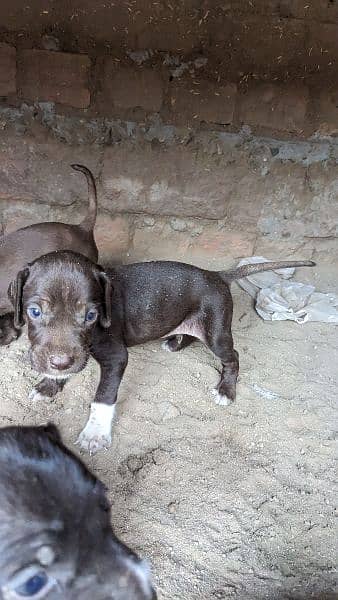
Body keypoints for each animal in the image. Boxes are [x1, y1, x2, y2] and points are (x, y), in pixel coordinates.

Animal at [8, 251, 314, 452]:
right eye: (34, 312)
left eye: (91, 316)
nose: (60, 363)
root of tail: (217, 275)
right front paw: (51, 383)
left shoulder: (116, 357)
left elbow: (103, 398)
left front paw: (95, 433)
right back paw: (175, 342)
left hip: (216, 331)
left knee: (233, 357)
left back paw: (226, 390)